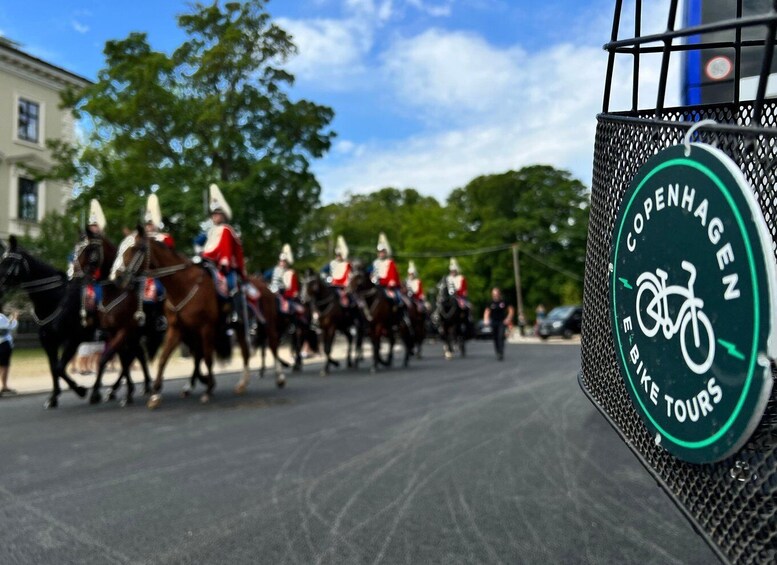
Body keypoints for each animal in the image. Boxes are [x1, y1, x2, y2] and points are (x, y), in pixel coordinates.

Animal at [0, 236, 88, 408]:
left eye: (10, 262)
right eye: (2, 260)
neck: (55, 299)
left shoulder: (73, 339)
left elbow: (59, 368)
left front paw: (80, 390)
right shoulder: (48, 341)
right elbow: (54, 368)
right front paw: (53, 397)